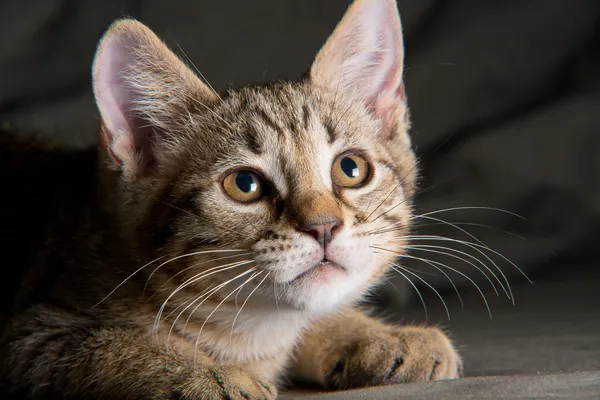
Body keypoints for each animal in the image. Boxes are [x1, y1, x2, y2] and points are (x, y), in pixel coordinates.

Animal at [0, 0, 462, 398]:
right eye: (244, 185)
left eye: (350, 169)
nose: (324, 227)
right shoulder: (27, 337)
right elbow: (101, 350)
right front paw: (202, 375)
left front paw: (374, 335)